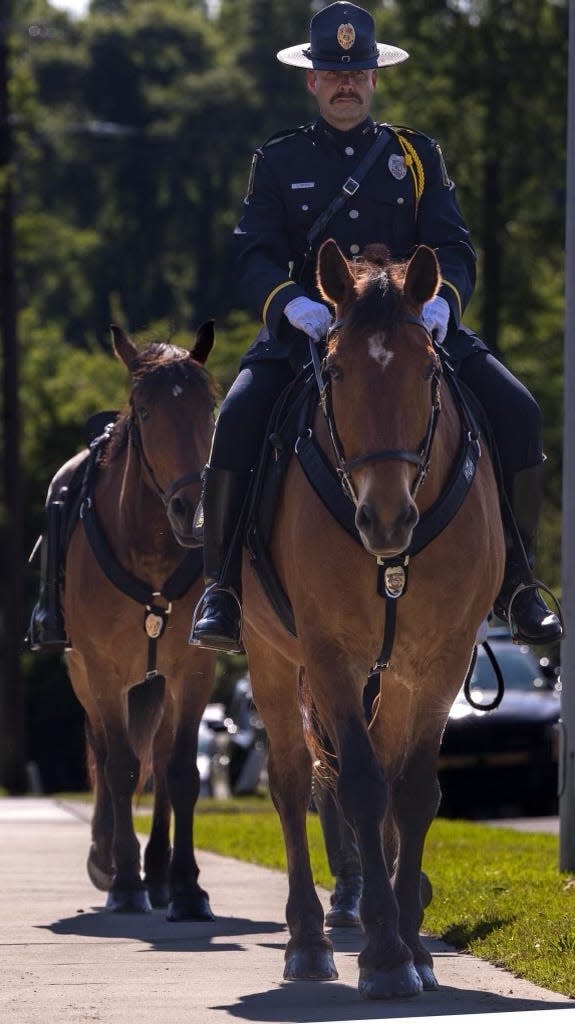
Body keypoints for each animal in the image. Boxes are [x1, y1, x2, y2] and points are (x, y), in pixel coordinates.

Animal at [59, 323, 216, 917]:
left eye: (209, 407)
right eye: (145, 412)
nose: (192, 509)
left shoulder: (194, 669)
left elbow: (181, 773)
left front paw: (187, 886)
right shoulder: (103, 672)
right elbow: (121, 768)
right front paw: (124, 878)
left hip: (158, 683)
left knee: (162, 762)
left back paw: (161, 876)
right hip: (88, 678)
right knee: (108, 755)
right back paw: (109, 861)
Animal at [239, 241, 503, 999]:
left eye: (427, 367)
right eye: (333, 369)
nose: (385, 518)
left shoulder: (441, 658)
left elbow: (410, 792)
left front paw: (411, 946)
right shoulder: (329, 655)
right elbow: (357, 784)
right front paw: (384, 956)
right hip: (271, 656)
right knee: (292, 782)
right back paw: (307, 940)